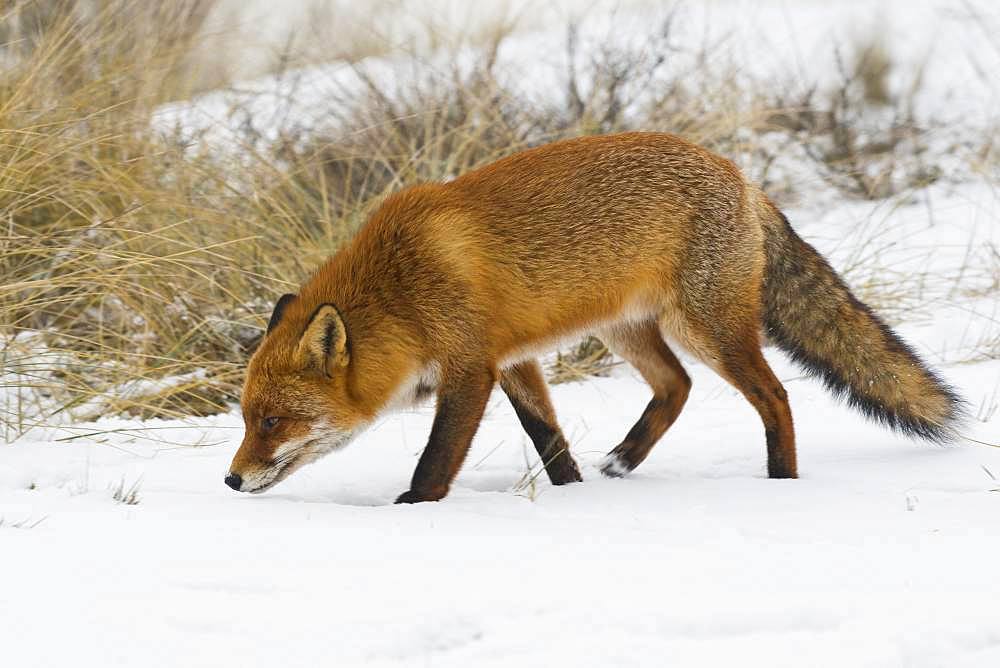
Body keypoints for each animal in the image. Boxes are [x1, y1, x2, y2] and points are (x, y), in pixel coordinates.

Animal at [225, 133, 960, 504]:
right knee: (677, 387)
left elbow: (436, 459)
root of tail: (740, 175)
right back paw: (626, 461)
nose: (230, 479)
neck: (402, 288)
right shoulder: (513, 360)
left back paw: (781, 486)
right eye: (246, 418)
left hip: (706, 328)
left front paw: (414, 510)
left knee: (774, 395)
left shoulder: (470, 369)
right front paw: (573, 501)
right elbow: (550, 440)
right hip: (626, 328)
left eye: (273, 422)